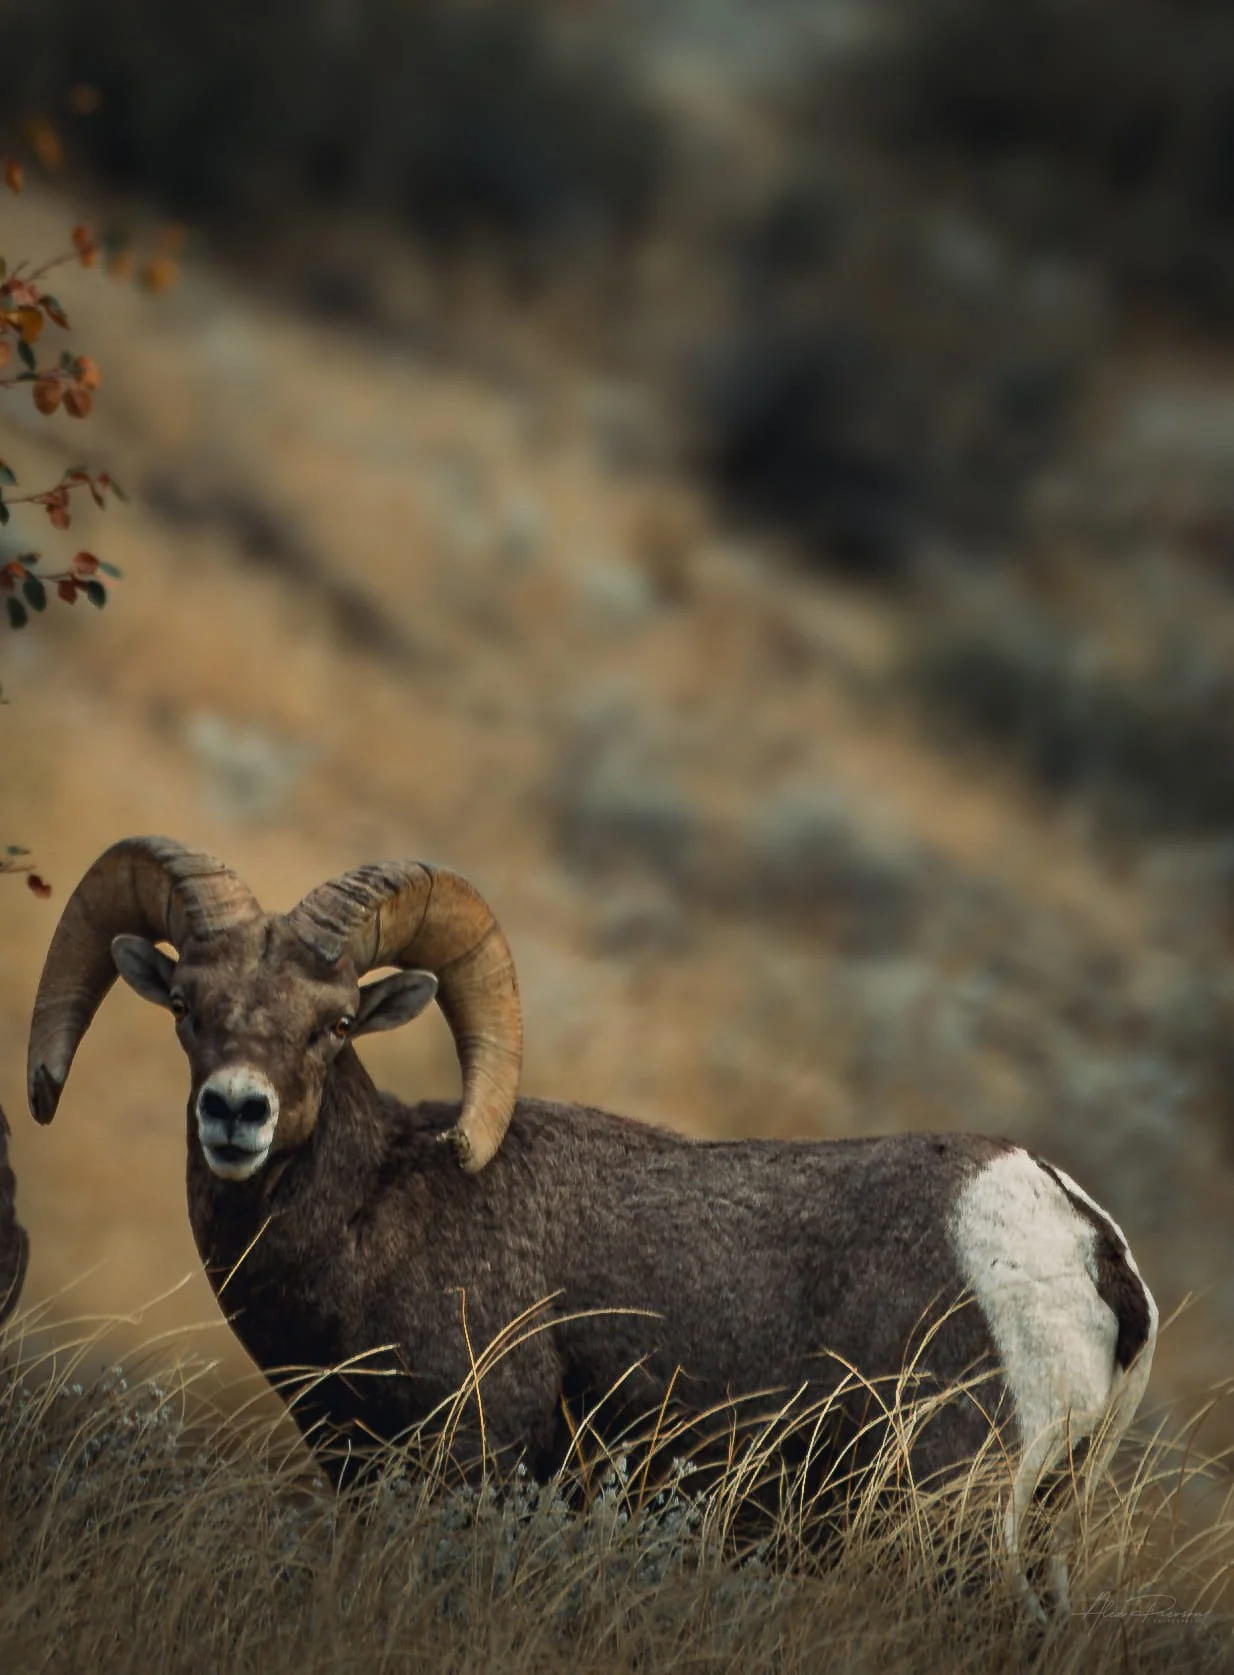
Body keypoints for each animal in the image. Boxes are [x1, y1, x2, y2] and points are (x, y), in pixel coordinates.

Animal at [27, 836, 1157, 1614]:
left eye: (334, 1022)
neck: (382, 1211)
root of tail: (1084, 1245)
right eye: (188, 1008)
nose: (235, 1112)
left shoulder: (463, 1463)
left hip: (954, 1517)